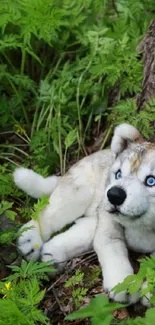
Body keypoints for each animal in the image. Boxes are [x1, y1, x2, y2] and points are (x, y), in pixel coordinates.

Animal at [13, 123, 155, 304]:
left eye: (151, 181)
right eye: (118, 174)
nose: (114, 194)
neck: (144, 227)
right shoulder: (108, 227)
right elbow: (112, 248)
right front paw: (123, 284)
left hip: (92, 215)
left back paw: (52, 255)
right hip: (76, 195)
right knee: (46, 216)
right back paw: (29, 241)